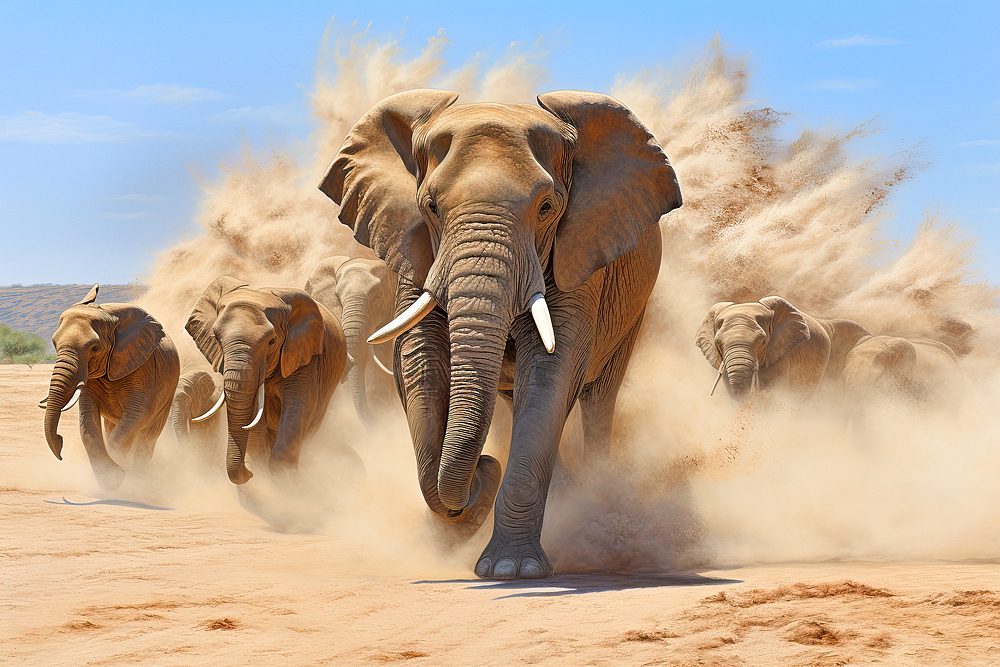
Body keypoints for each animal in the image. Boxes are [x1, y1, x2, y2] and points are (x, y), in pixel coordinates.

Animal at [39, 284, 181, 488]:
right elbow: (87, 420)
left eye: (95, 348)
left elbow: (138, 414)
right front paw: (112, 477)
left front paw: (116, 476)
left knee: (147, 437)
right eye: (54, 343)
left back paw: (141, 480)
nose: (60, 443)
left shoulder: (145, 368)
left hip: (168, 395)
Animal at [186, 276, 350, 486]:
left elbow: (299, 407)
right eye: (216, 338)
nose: (249, 474)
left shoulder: (305, 356)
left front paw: (286, 478)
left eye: (272, 342)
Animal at [324, 88, 684, 580]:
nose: (484, 466)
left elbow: (553, 371)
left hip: (633, 306)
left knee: (597, 398)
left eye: (547, 208)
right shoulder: (414, 250)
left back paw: (597, 500)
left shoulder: (578, 253)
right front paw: (452, 533)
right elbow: (419, 361)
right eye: (430, 207)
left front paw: (511, 569)